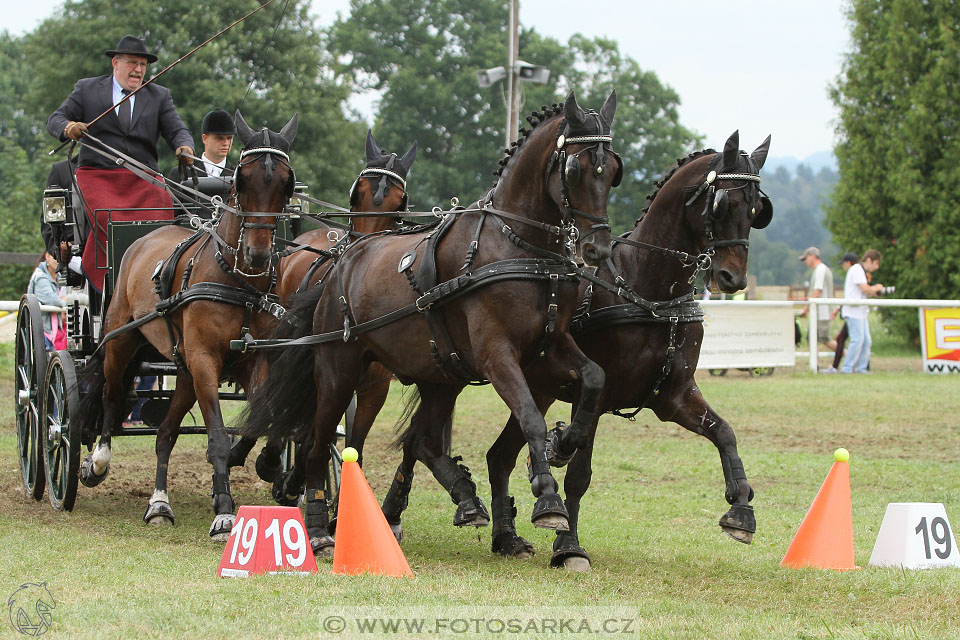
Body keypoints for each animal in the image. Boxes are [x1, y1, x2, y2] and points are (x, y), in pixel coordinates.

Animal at [73, 111, 298, 540]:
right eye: (242, 180)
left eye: (286, 182)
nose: (258, 254)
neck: (237, 280)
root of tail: (148, 236)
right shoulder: (205, 360)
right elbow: (217, 437)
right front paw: (224, 511)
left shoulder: (255, 361)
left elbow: (260, 418)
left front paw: (266, 466)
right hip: (122, 342)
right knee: (111, 394)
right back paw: (98, 462)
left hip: (183, 370)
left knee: (165, 433)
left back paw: (159, 504)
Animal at [242, 91, 624, 556]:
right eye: (574, 169)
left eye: (614, 171)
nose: (597, 248)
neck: (519, 246)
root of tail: (342, 259)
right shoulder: (497, 356)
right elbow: (531, 416)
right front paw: (548, 497)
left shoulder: (550, 344)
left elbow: (595, 377)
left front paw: (566, 442)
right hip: (339, 369)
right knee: (318, 442)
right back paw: (317, 528)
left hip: (440, 373)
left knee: (420, 440)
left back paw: (463, 498)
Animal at [480, 130, 772, 568]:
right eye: (723, 204)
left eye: (757, 210)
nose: (732, 278)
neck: (650, 294)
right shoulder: (596, 399)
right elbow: (579, 474)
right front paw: (569, 545)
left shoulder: (674, 397)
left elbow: (725, 433)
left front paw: (741, 509)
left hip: (538, 390)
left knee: (499, 457)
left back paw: (506, 538)